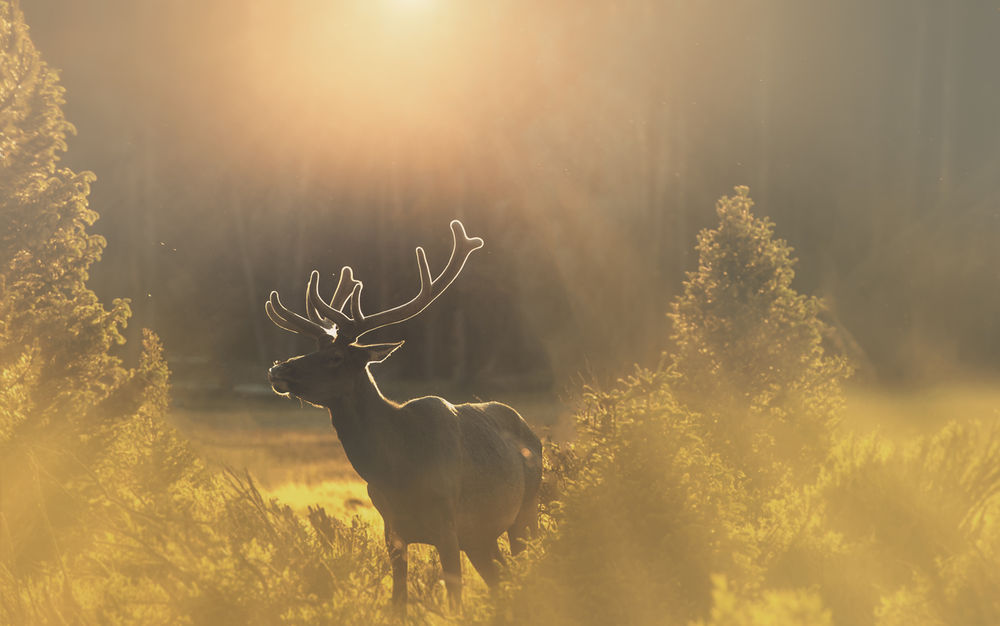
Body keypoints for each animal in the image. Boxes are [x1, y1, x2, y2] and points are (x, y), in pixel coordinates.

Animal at [264, 220, 542, 614]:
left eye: (335, 357)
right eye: (312, 348)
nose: (278, 369)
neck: (397, 467)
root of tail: (533, 434)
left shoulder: (447, 524)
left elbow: (455, 598)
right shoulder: (391, 529)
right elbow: (398, 601)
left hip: (525, 513)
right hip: (481, 537)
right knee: (501, 580)